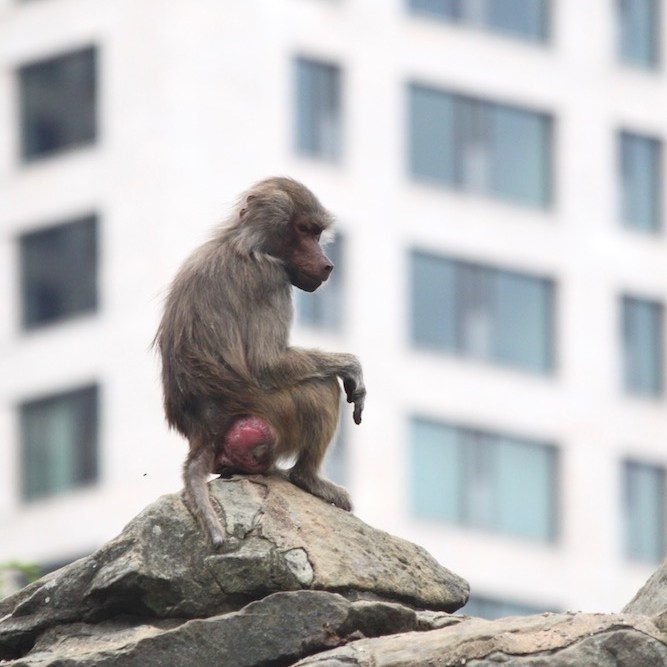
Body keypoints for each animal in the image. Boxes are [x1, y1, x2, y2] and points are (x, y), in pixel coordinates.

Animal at [154, 177, 366, 548]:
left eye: (316, 233)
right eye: (304, 230)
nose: (327, 265)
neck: (243, 243)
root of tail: (203, 433)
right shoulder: (271, 277)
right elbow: (265, 362)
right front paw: (351, 366)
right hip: (276, 412)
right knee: (320, 388)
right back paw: (308, 478)